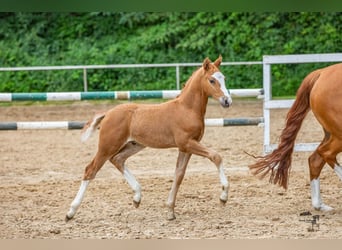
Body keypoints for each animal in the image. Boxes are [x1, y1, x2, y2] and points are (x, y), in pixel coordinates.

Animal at [66, 56, 232, 221]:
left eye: (224, 78)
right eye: (212, 80)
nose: (227, 101)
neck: (186, 109)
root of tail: (108, 113)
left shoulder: (186, 147)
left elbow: (179, 175)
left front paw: (170, 210)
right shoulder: (187, 143)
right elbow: (216, 156)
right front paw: (223, 196)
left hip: (134, 144)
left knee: (117, 159)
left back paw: (137, 197)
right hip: (107, 146)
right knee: (90, 170)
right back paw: (71, 212)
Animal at [248, 62, 342, 211]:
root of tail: (321, 73)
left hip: (331, 133)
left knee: (315, 159)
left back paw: (319, 205)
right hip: (338, 134)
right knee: (326, 153)